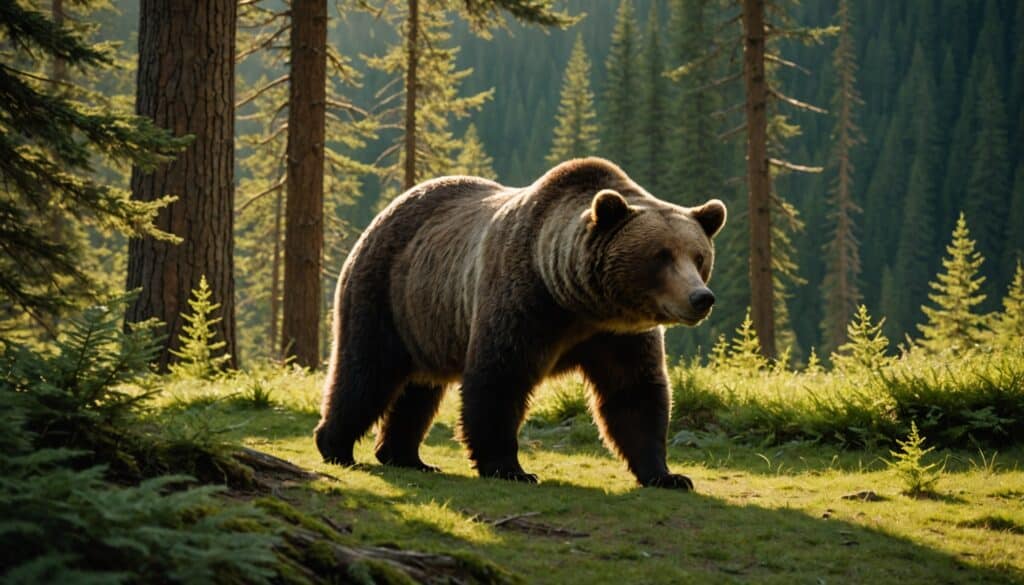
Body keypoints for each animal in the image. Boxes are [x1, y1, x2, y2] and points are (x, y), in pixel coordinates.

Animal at [315, 156, 724, 489]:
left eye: (698, 256)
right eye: (661, 256)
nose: (701, 297)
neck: (576, 301)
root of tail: (385, 212)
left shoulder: (617, 335)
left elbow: (634, 392)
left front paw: (668, 475)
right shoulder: (523, 303)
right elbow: (499, 377)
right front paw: (510, 468)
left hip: (427, 320)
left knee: (419, 389)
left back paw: (406, 456)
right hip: (384, 294)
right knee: (365, 373)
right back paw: (336, 446)